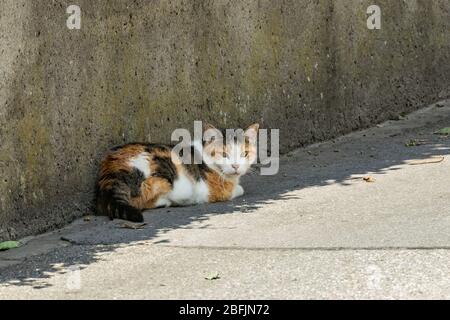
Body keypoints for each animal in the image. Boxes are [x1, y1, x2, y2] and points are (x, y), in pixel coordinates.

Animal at [96, 123, 258, 222]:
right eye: (224, 154)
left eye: (244, 154)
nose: (236, 166)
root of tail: (112, 169)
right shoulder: (215, 190)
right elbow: (237, 189)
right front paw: (238, 187)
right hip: (168, 180)